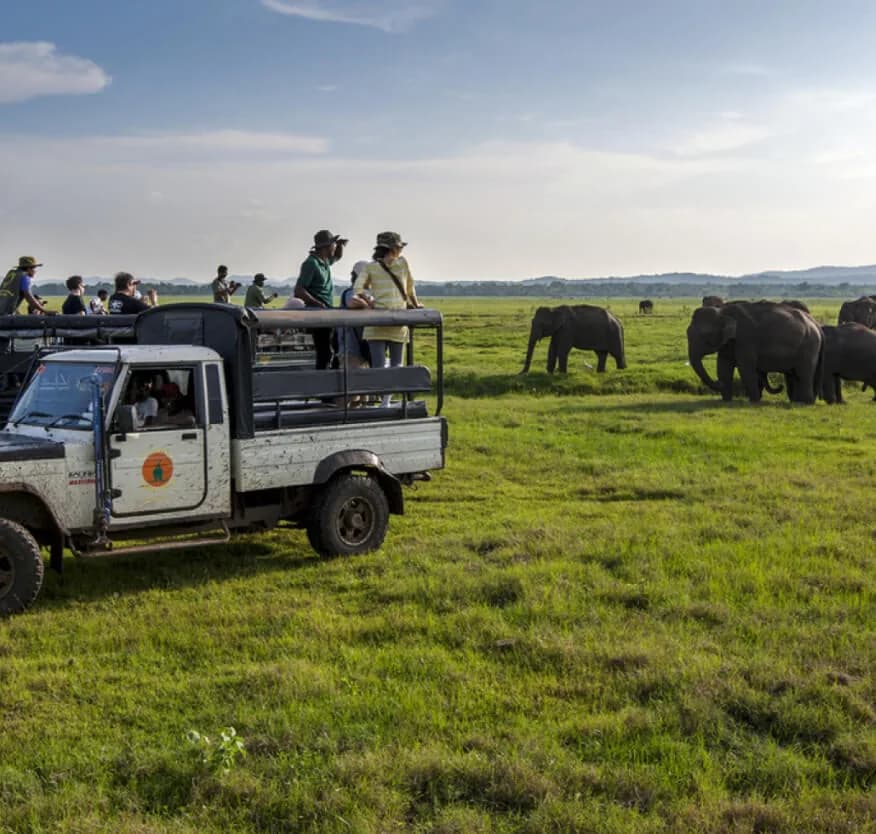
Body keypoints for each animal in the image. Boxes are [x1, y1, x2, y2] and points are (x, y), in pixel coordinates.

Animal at [687, 301, 823, 403]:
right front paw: (726, 400)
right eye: (687, 333)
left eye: (706, 336)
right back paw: (800, 401)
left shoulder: (746, 339)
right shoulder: (729, 342)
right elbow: (723, 367)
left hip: (809, 345)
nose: (717, 382)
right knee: (798, 374)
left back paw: (804, 402)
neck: (723, 311)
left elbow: (745, 368)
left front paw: (754, 401)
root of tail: (816, 324)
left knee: (804, 373)